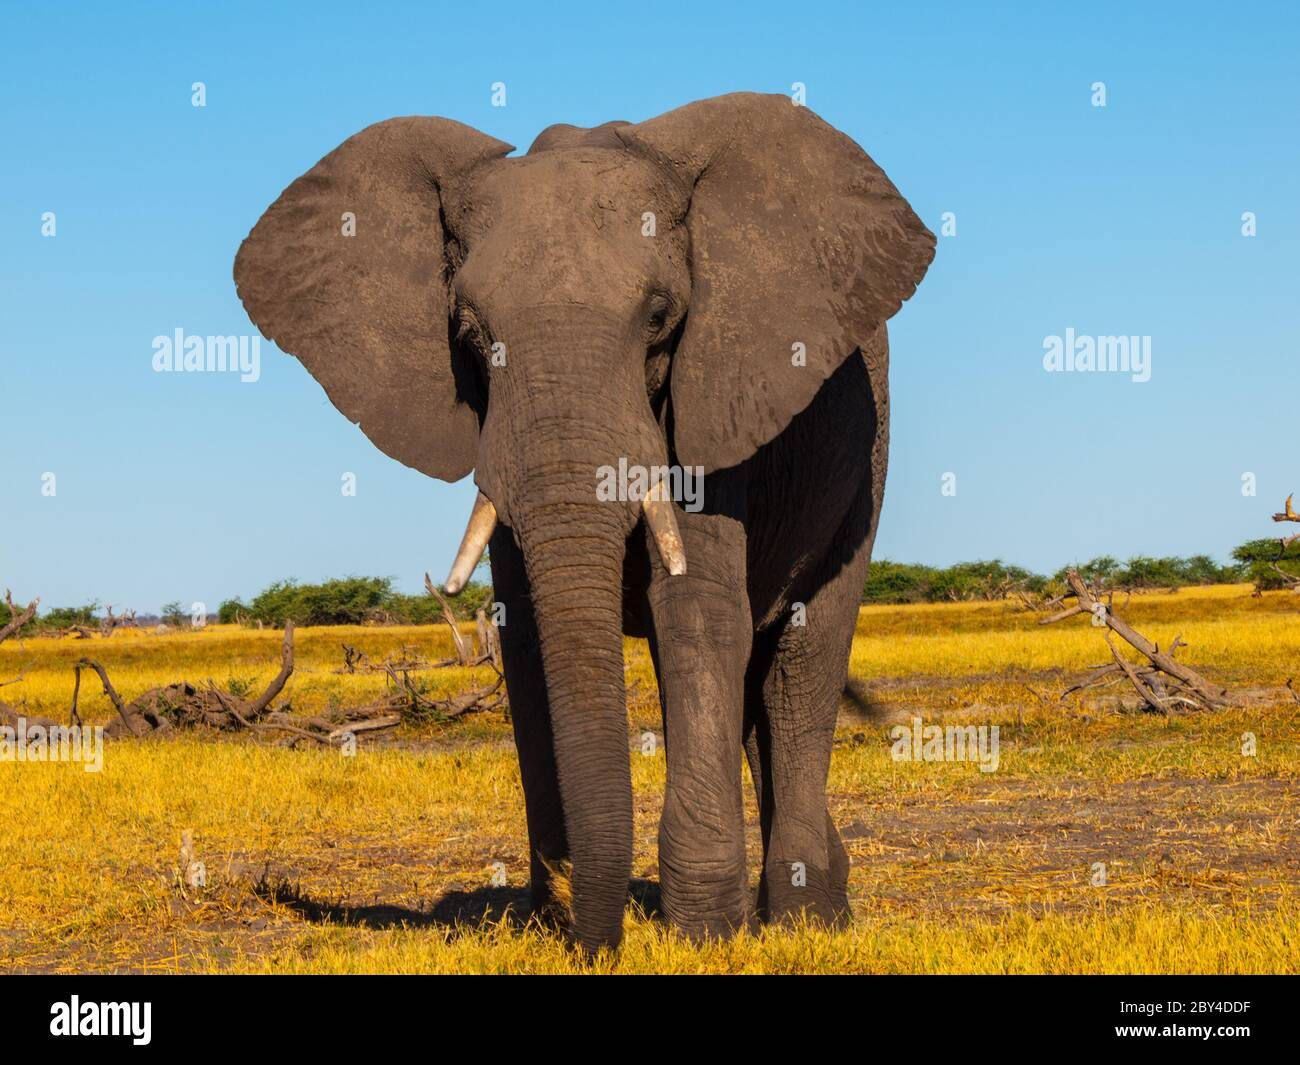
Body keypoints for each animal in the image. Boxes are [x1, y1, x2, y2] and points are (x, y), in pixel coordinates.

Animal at [234, 92, 934, 953]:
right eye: (471, 333)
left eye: (661, 319)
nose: (598, 942)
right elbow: (528, 634)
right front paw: (553, 922)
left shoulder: (714, 399)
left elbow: (695, 611)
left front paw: (704, 936)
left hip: (868, 463)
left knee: (804, 660)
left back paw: (809, 922)